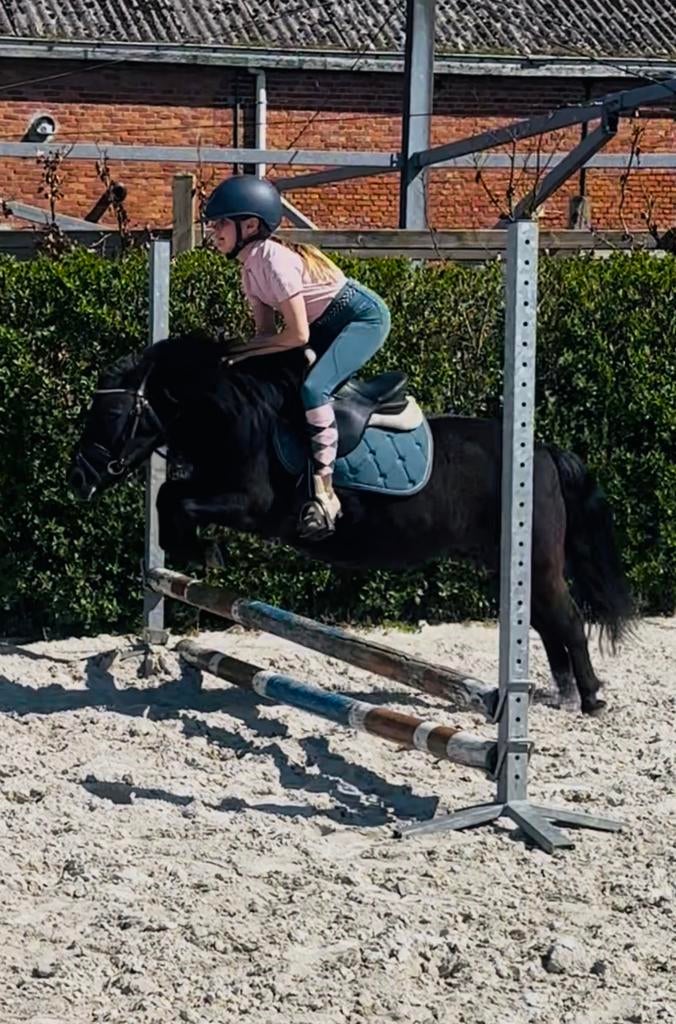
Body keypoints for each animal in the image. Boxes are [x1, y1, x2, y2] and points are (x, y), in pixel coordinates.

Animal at [69, 331, 634, 715]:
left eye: (112, 417)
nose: (78, 480)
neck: (239, 414)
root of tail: (541, 451)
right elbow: (169, 496)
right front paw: (193, 554)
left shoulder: (252, 505)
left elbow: (177, 501)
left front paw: (201, 552)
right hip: (508, 566)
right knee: (545, 621)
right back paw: (562, 696)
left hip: (535, 562)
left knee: (567, 619)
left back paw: (591, 698)